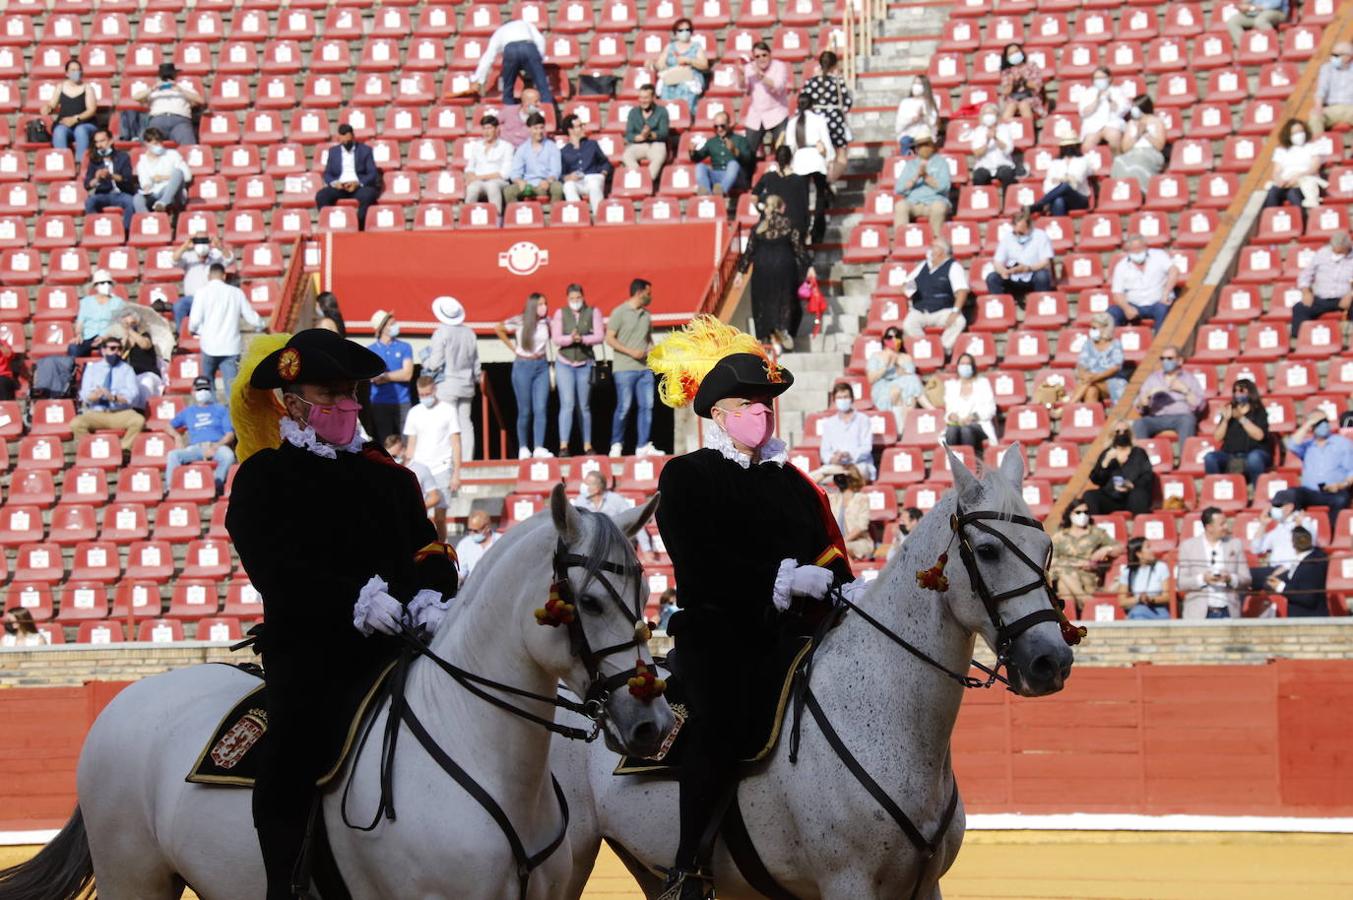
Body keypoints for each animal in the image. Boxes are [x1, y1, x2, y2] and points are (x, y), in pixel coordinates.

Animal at [552, 446, 1076, 893]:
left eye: (1046, 546)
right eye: (987, 551)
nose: (1052, 661)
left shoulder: (925, 884)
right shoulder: (848, 881)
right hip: (572, 856)